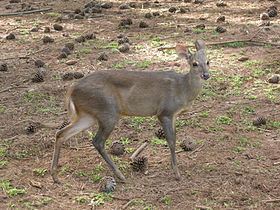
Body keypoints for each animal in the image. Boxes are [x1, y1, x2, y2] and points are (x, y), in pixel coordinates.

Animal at [50, 38, 209, 183]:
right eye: (194, 63)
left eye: (208, 62)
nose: (206, 75)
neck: (183, 90)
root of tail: (72, 89)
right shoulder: (165, 112)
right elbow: (171, 141)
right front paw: (177, 174)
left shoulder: (174, 115)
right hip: (108, 111)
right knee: (97, 141)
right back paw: (120, 176)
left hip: (88, 115)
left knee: (61, 133)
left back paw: (55, 176)